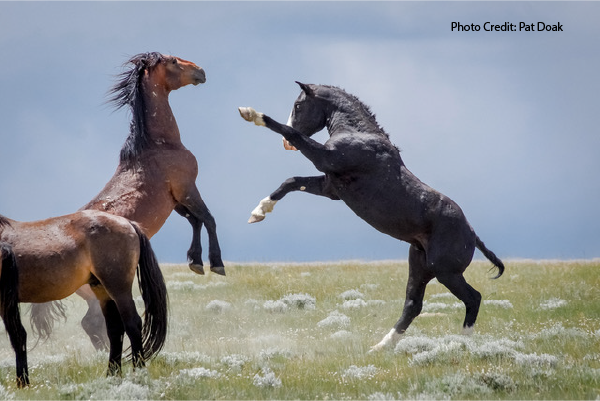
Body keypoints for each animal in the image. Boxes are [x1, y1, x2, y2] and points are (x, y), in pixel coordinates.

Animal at [0, 211, 169, 386]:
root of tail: (128, 223)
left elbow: (17, 336)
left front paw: (23, 383)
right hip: (103, 292)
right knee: (115, 329)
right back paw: (112, 375)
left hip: (119, 289)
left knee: (133, 324)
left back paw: (139, 373)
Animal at [31, 53, 223, 350]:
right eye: (173, 61)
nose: (200, 71)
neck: (158, 145)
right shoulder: (187, 189)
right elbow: (208, 219)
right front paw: (215, 263)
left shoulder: (176, 201)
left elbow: (195, 221)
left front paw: (195, 260)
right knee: (94, 323)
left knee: (94, 323)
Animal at [239, 83, 506, 352]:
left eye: (298, 105)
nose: (285, 144)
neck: (359, 135)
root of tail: (472, 234)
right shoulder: (330, 187)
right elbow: (291, 182)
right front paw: (258, 212)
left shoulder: (325, 159)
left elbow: (295, 140)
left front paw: (251, 114)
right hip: (420, 268)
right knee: (413, 305)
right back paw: (381, 346)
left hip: (446, 273)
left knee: (473, 298)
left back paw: (463, 343)